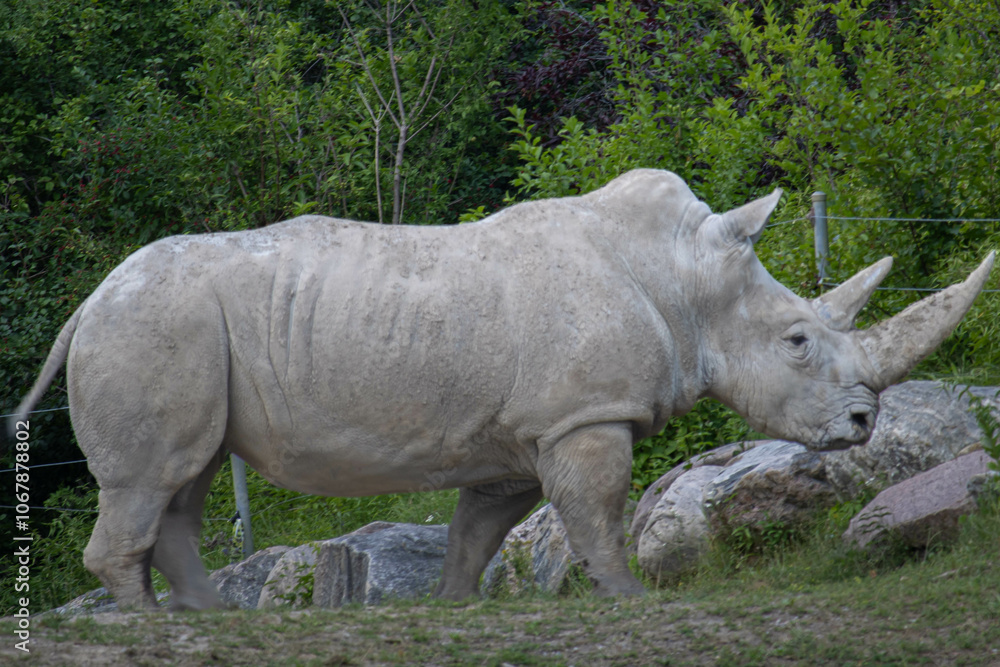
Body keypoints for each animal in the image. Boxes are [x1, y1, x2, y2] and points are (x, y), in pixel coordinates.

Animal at [11, 169, 993, 611]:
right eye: (797, 341)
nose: (865, 421)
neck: (684, 281)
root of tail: (89, 298)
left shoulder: (526, 429)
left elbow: (480, 528)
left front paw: (453, 603)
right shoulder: (585, 414)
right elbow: (597, 513)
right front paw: (631, 600)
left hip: (174, 330)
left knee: (188, 474)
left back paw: (218, 623)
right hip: (151, 324)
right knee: (156, 477)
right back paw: (155, 625)